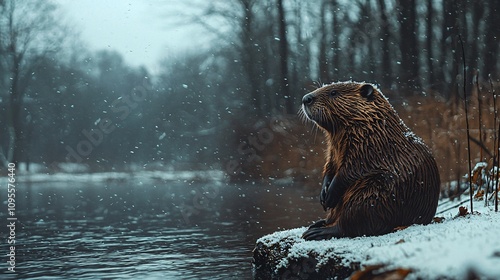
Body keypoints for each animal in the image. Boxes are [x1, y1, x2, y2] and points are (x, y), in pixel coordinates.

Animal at [298, 81, 440, 241]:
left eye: (333, 92)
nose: (306, 98)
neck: (374, 127)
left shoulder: (370, 147)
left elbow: (351, 170)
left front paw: (329, 197)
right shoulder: (333, 150)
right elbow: (329, 166)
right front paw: (323, 195)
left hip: (371, 195)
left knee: (350, 223)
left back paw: (316, 232)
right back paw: (317, 223)